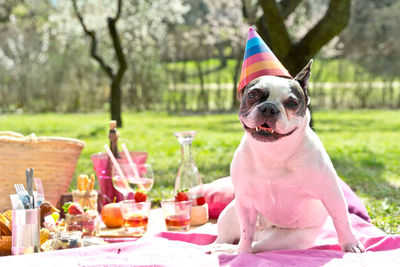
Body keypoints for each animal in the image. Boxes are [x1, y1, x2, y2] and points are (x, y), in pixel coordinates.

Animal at [214, 59, 364, 254]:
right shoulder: (245, 203)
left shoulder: (331, 193)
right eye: (253, 94)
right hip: (231, 211)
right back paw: (223, 247)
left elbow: (341, 218)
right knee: (232, 237)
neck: (274, 151)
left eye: (292, 103)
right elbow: (246, 233)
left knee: (259, 246)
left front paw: (350, 243)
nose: (269, 108)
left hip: (288, 239)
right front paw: (242, 254)